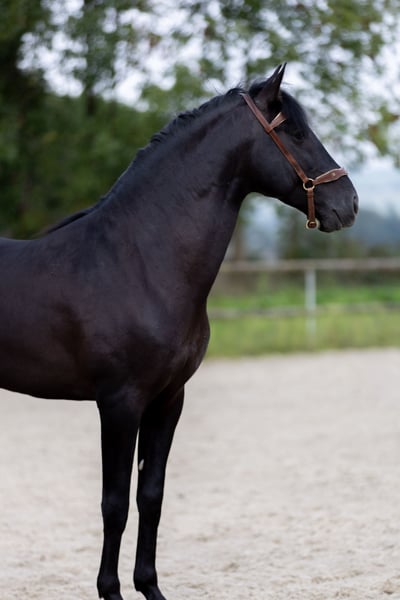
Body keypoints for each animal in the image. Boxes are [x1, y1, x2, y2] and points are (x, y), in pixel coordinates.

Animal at [0, 64, 358, 600]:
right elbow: (114, 503)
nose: (348, 203)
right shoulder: (120, 403)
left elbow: (151, 495)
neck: (141, 263)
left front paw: (149, 587)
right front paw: (110, 590)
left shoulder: (169, 399)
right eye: (295, 132)